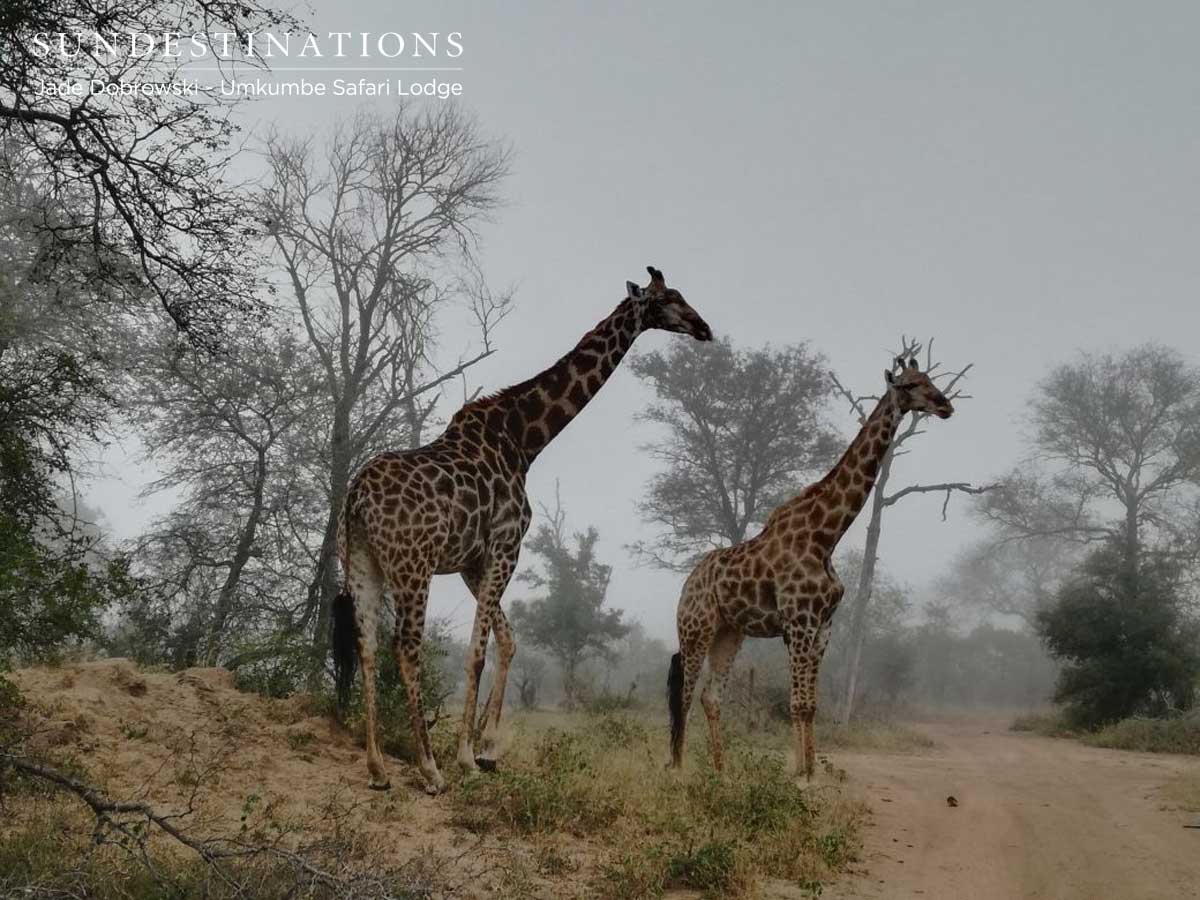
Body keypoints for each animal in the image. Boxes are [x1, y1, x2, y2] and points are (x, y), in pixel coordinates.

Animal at [331, 266, 712, 794]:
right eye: (669, 299)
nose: (704, 328)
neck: (525, 439)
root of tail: (356, 497)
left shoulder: (472, 561)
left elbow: (508, 641)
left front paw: (489, 748)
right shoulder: (506, 545)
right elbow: (477, 651)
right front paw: (467, 756)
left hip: (362, 561)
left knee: (365, 645)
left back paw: (378, 769)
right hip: (413, 566)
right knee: (404, 647)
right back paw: (429, 769)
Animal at [667, 354, 954, 779]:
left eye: (930, 379)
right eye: (910, 385)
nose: (945, 405)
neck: (825, 536)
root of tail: (686, 585)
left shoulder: (822, 627)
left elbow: (811, 704)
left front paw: (812, 771)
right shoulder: (799, 622)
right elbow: (797, 703)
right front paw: (800, 775)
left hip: (729, 632)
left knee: (710, 696)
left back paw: (722, 772)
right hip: (695, 629)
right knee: (684, 696)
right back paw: (680, 769)